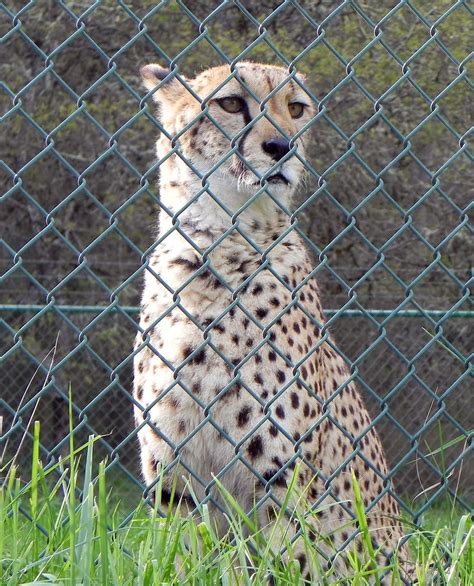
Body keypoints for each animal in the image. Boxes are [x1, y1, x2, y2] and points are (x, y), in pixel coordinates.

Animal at [134, 59, 414, 580]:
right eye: (230, 103)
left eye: (295, 108)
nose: (280, 147)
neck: (214, 252)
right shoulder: (173, 478)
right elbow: (180, 560)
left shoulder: (281, 480)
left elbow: (285, 561)